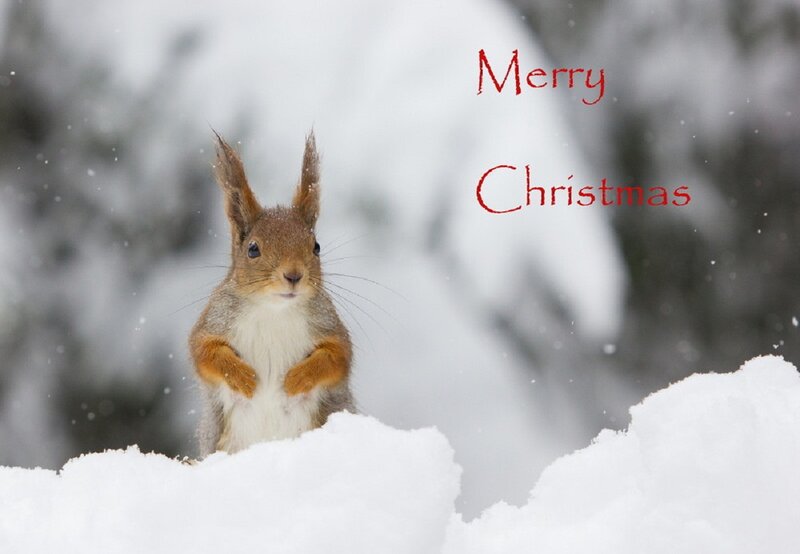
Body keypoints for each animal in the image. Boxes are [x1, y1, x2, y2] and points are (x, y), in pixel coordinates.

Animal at [190, 132, 354, 456]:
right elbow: (203, 351)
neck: (273, 310)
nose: (293, 275)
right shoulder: (214, 319)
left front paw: (297, 379)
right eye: (253, 249)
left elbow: (338, 356)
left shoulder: (329, 325)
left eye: (316, 246)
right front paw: (244, 378)